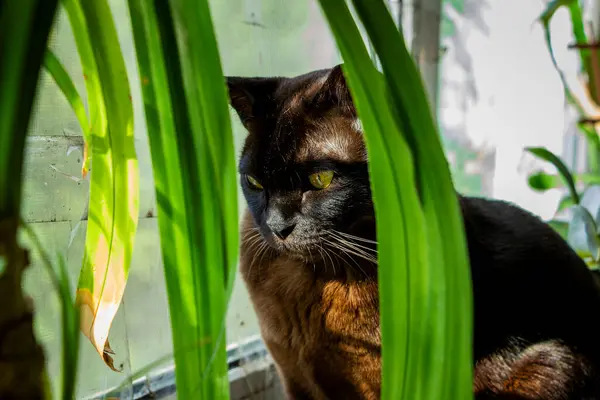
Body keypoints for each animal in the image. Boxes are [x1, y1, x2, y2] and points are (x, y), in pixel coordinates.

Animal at [224, 64, 600, 398]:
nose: (277, 226)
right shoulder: (296, 379)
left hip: (550, 364)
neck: (311, 284)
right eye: (254, 183)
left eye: (321, 179)